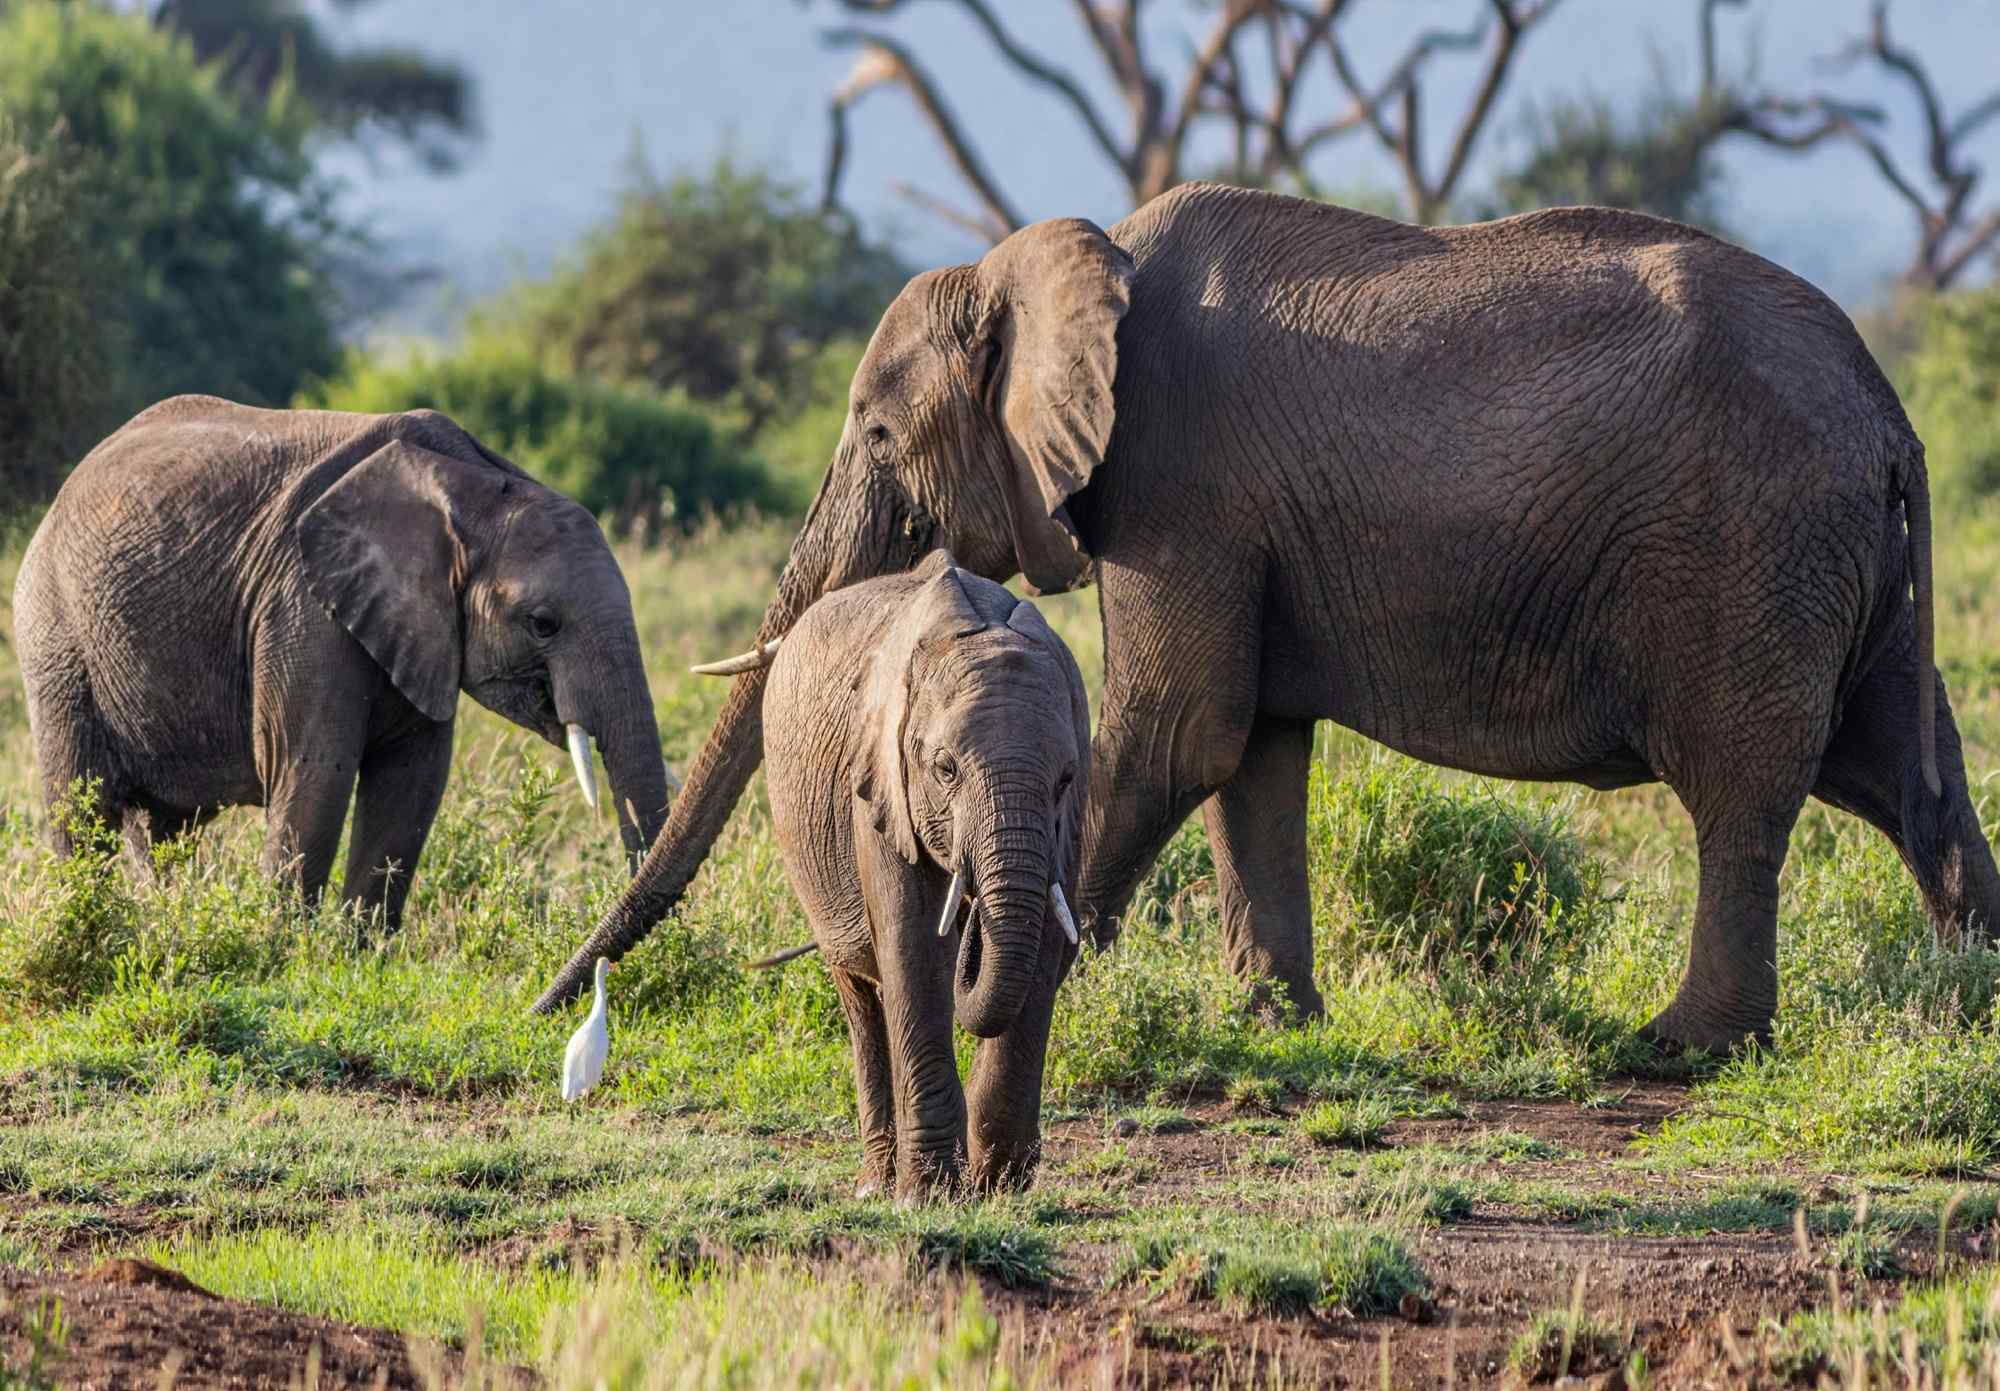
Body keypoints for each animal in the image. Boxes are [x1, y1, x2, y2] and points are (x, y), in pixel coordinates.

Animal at [17, 393, 672, 923]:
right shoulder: (300, 603)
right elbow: (315, 771)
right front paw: (287, 956)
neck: (472, 485)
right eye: (542, 624)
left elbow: (412, 783)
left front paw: (360, 956)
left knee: (164, 830)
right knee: (80, 810)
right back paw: (89, 921)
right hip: (53, 638)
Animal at [540, 181, 2000, 1055]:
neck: (1056, 263)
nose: (554, 999)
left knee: (1743, 793)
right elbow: (1249, 749)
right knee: (1901, 774)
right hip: (1842, 568)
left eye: (883, 437)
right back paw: (1969, 1003)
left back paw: (1680, 1045)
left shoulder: (1183, 482)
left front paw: (1039, 993)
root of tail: (1891, 416)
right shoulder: (1241, 524)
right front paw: (1271, 1022)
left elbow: (1173, 731)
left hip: (1750, 556)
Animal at [756, 555, 1088, 1199]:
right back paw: (876, 1184)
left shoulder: (1071, 819)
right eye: (945, 769)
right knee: (860, 993)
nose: (973, 923)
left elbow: (1045, 941)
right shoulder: (879, 783)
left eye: (1065, 778)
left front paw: (999, 1182)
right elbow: (913, 948)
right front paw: (928, 1194)